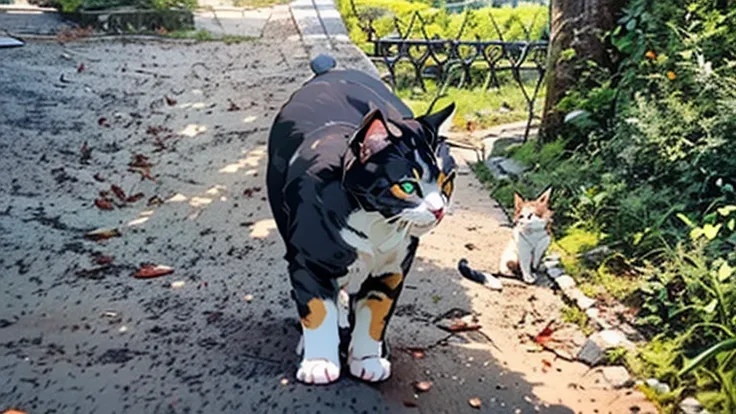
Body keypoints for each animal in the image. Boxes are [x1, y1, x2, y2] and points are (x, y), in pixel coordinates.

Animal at [268, 55, 458, 384]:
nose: (438, 209)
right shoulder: (308, 263)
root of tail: (331, 70)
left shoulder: (391, 271)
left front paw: (368, 359)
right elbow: (317, 310)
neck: (375, 225)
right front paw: (319, 363)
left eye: (446, 182)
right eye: (408, 186)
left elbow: (375, 315)